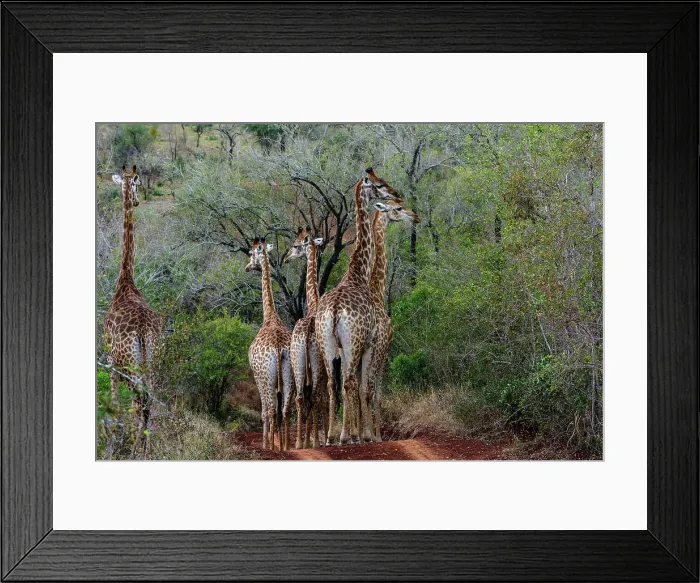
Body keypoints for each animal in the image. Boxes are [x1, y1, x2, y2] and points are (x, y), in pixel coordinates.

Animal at [315, 168, 403, 444]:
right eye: (379, 184)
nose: (396, 193)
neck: (357, 272)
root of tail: (334, 311)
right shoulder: (370, 343)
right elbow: (365, 386)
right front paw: (363, 434)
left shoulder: (344, 348)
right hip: (353, 343)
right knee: (351, 383)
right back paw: (348, 436)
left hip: (327, 344)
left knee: (333, 384)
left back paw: (332, 436)